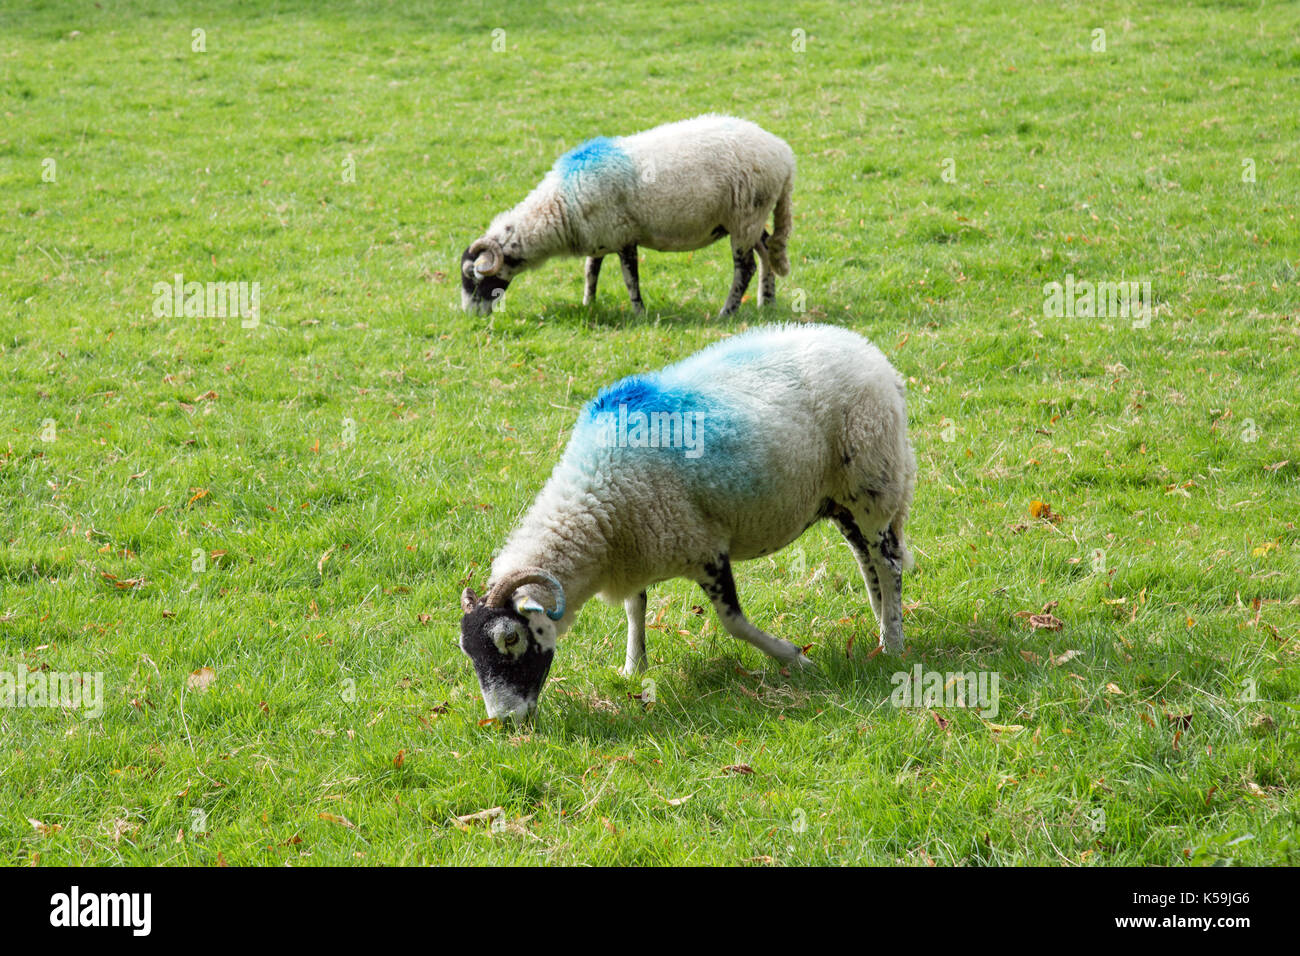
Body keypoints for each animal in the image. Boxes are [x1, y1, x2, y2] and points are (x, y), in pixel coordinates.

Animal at [458, 323, 916, 720]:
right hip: (842, 499)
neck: (595, 507)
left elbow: (734, 624)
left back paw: (892, 643)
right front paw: (634, 667)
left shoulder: (705, 547)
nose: (504, 721)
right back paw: (880, 624)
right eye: (468, 652)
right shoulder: (639, 547)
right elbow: (635, 609)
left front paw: (795, 658)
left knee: (887, 562)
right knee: (866, 560)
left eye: (511, 639)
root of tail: (871, 355)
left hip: (873, 481)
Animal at [459, 114, 795, 319]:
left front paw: (639, 313)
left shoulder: (623, 236)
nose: (470, 317)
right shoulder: (599, 236)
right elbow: (591, 271)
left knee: (746, 267)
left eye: (474, 278)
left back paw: (727, 312)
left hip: (745, 216)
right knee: (767, 250)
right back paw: (767, 302)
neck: (559, 206)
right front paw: (589, 303)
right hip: (751, 217)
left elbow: (629, 278)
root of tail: (783, 154)